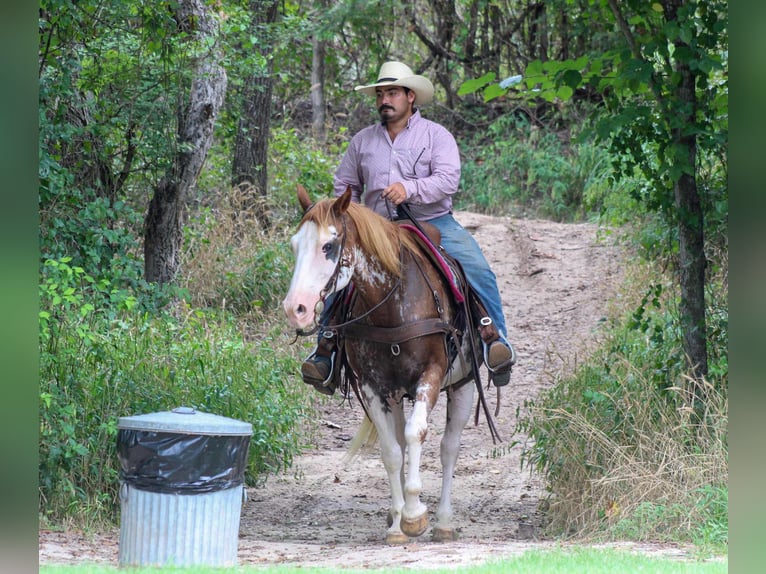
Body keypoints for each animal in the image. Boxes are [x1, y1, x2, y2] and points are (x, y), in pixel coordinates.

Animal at [282, 184, 498, 544]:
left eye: (328, 246)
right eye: (295, 245)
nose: (294, 308)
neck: (392, 304)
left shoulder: (431, 376)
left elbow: (416, 433)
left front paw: (414, 515)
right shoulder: (373, 388)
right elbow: (391, 451)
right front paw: (398, 523)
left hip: (463, 386)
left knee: (449, 448)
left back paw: (443, 522)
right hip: (396, 396)